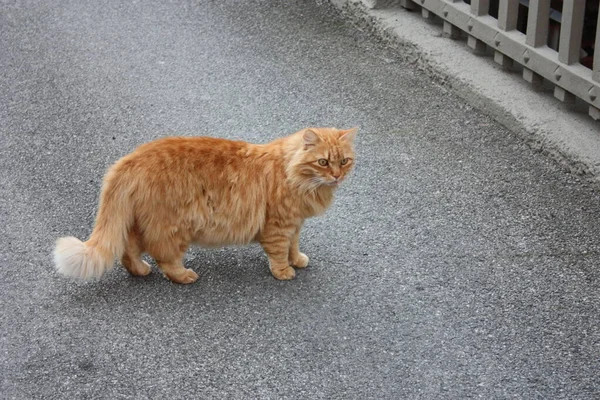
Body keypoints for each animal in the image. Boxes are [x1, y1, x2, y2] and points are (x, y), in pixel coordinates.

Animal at [54, 128, 356, 284]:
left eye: (344, 161)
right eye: (323, 162)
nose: (336, 176)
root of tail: (130, 158)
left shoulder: (295, 224)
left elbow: (293, 247)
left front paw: (298, 259)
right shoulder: (279, 225)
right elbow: (280, 252)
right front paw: (284, 271)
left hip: (143, 222)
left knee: (128, 251)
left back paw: (140, 271)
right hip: (173, 227)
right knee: (164, 257)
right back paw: (184, 275)